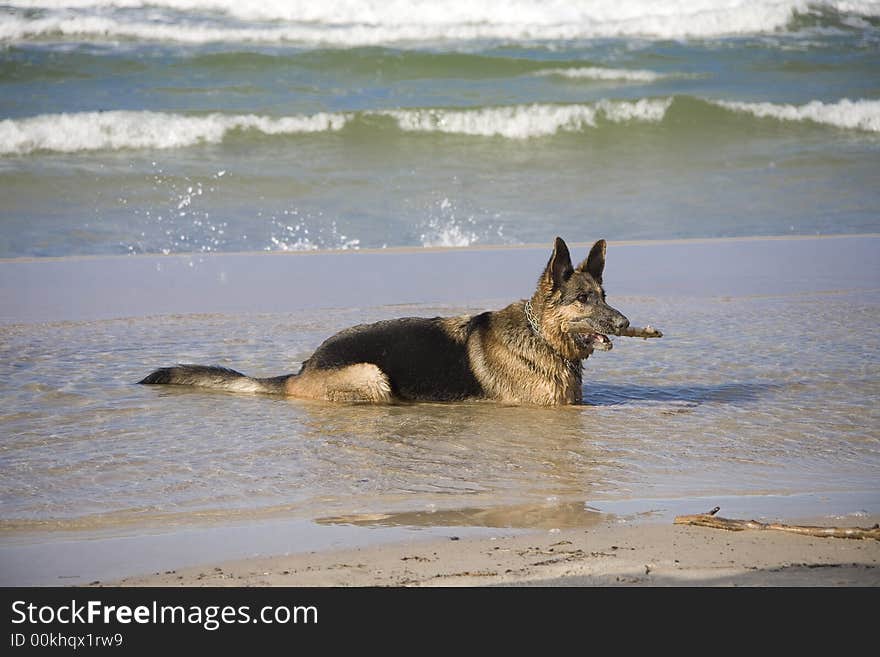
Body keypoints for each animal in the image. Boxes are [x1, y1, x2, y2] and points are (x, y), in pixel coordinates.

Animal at [141, 238, 628, 404]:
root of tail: (302, 369)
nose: (624, 323)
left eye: (604, 297)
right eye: (582, 299)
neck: (538, 335)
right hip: (372, 376)